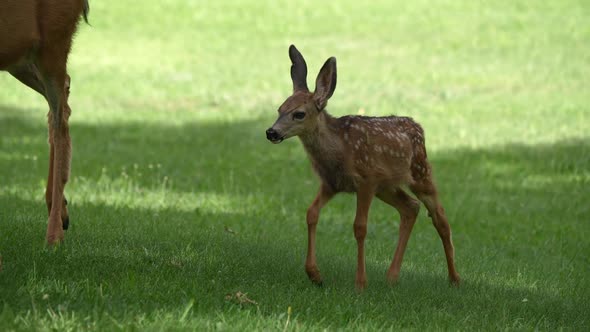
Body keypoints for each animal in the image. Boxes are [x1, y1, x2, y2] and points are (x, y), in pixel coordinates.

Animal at [0, 0, 90, 244]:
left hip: (54, 39)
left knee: (61, 117)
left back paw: (54, 234)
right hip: (20, 56)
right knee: (63, 98)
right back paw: (61, 213)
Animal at [268, 45, 462, 290]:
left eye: (299, 114)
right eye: (279, 109)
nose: (271, 132)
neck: (339, 150)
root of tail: (419, 127)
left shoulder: (366, 180)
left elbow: (360, 227)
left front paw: (360, 282)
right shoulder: (332, 183)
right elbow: (311, 213)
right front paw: (314, 274)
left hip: (420, 172)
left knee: (440, 217)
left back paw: (455, 278)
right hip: (387, 186)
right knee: (410, 207)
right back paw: (392, 276)